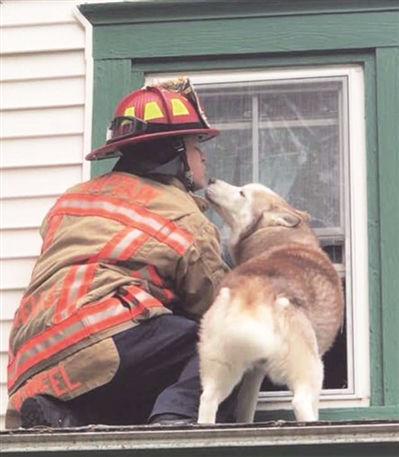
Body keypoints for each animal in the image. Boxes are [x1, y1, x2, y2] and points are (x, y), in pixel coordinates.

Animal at [198, 178, 346, 424]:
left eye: (241, 192)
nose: (210, 180)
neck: (277, 237)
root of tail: (252, 291)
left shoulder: (254, 373)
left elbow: (246, 407)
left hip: (221, 367)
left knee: (207, 400)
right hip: (311, 368)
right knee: (301, 403)